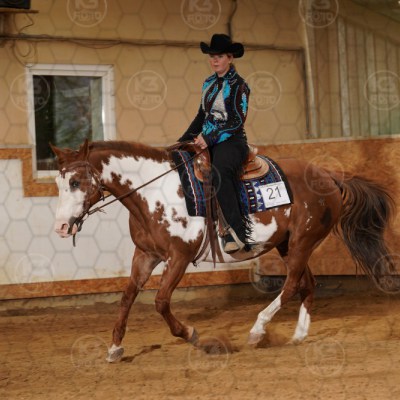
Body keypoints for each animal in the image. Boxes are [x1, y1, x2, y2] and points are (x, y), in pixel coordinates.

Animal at [51, 139, 397, 363]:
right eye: (58, 182)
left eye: (77, 181)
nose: (61, 227)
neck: (153, 193)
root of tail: (330, 176)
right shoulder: (145, 255)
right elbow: (127, 298)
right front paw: (114, 348)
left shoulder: (179, 257)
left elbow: (161, 302)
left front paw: (194, 336)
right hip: (288, 244)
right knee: (307, 284)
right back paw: (297, 336)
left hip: (302, 242)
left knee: (291, 285)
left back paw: (257, 331)